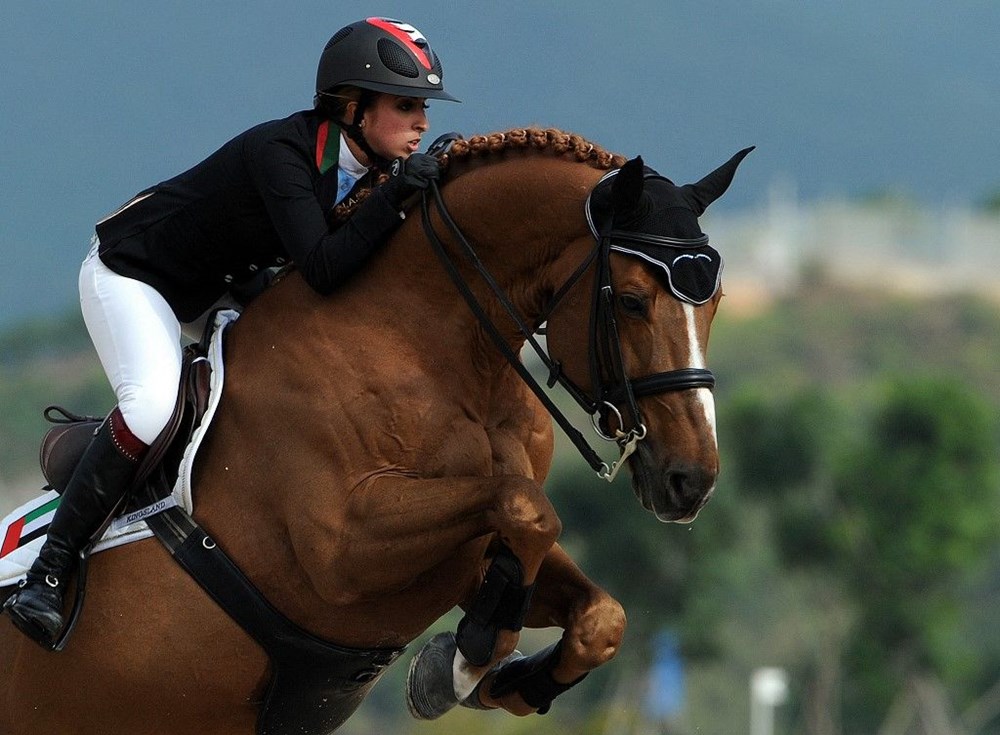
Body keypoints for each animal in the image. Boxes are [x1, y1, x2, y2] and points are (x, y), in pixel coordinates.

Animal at [0, 129, 752, 732]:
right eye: (632, 301)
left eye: (715, 300)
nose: (690, 480)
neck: (424, 343)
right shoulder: (343, 547)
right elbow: (528, 508)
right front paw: (462, 661)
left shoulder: (464, 549)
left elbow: (598, 611)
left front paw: (495, 674)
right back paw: (40, 598)